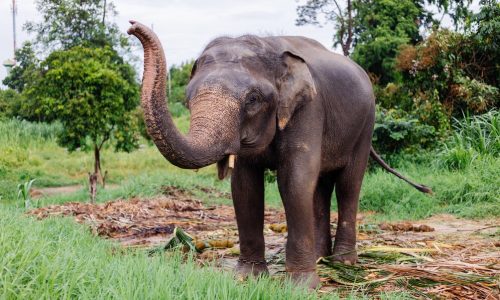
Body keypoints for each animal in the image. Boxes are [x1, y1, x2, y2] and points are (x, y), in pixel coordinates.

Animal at [128, 20, 430, 288]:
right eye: (188, 99)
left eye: (252, 100)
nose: (132, 26)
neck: (269, 46)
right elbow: (245, 187)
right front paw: (247, 279)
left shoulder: (309, 109)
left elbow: (294, 182)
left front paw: (302, 287)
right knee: (320, 188)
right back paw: (321, 258)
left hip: (365, 126)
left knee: (348, 184)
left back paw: (343, 263)